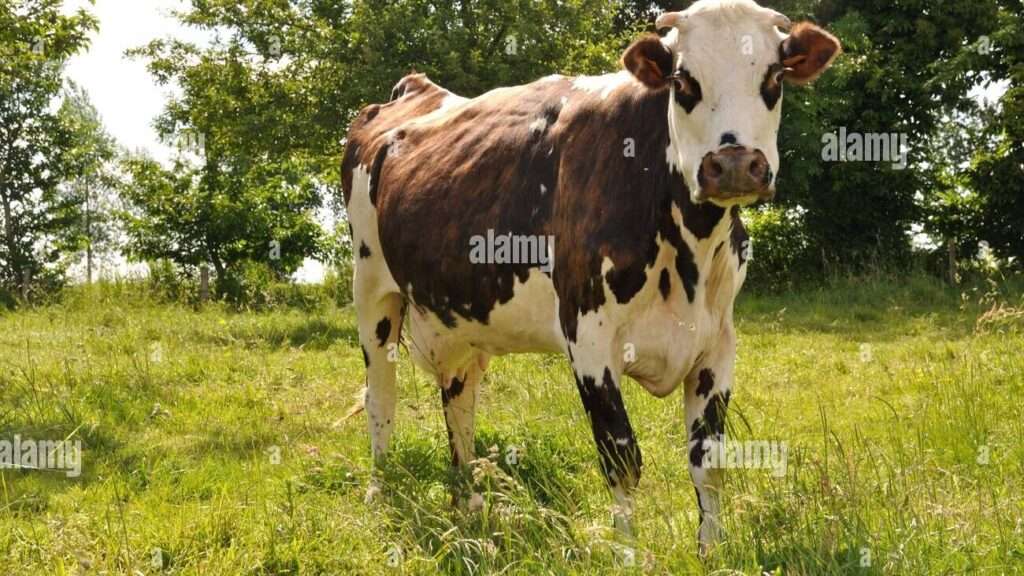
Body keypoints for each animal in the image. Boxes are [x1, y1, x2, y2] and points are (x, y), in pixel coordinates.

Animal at [341, 0, 841, 553]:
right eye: (683, 80)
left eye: (774, 76)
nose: (732, 165)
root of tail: (415, 88)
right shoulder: (588, 336)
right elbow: (621, 458)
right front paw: (628, 553)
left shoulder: (717, 343)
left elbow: (708, 463)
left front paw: (712, 552)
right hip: (372, 290)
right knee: (381, 397)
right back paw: (380, 493)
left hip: (459, 321)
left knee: (460, 401)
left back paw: (467, 502)